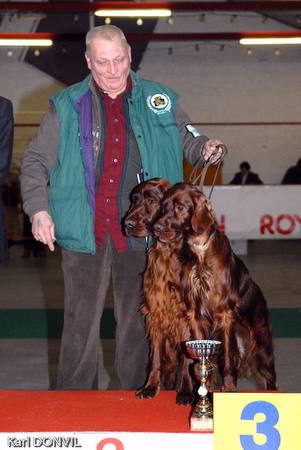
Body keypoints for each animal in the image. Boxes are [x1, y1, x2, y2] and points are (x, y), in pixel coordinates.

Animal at [123, 178, 196, 404]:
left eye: (151, 201)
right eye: (133, 200)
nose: (127, 224)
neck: (169, 254)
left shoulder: (187, 318)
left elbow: (189, 361)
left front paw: (186, 392)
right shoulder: (157, 313)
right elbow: (154, 357)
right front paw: (150, 387)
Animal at [155, 183, 276, 390]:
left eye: (180, 207)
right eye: (163, 207)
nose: (156, 227)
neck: (201, 250)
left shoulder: (224, 314)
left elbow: (228, 360)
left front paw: (228, 390)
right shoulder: (196, 316)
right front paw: (205, 389)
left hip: (262, 344)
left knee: (270, 377)